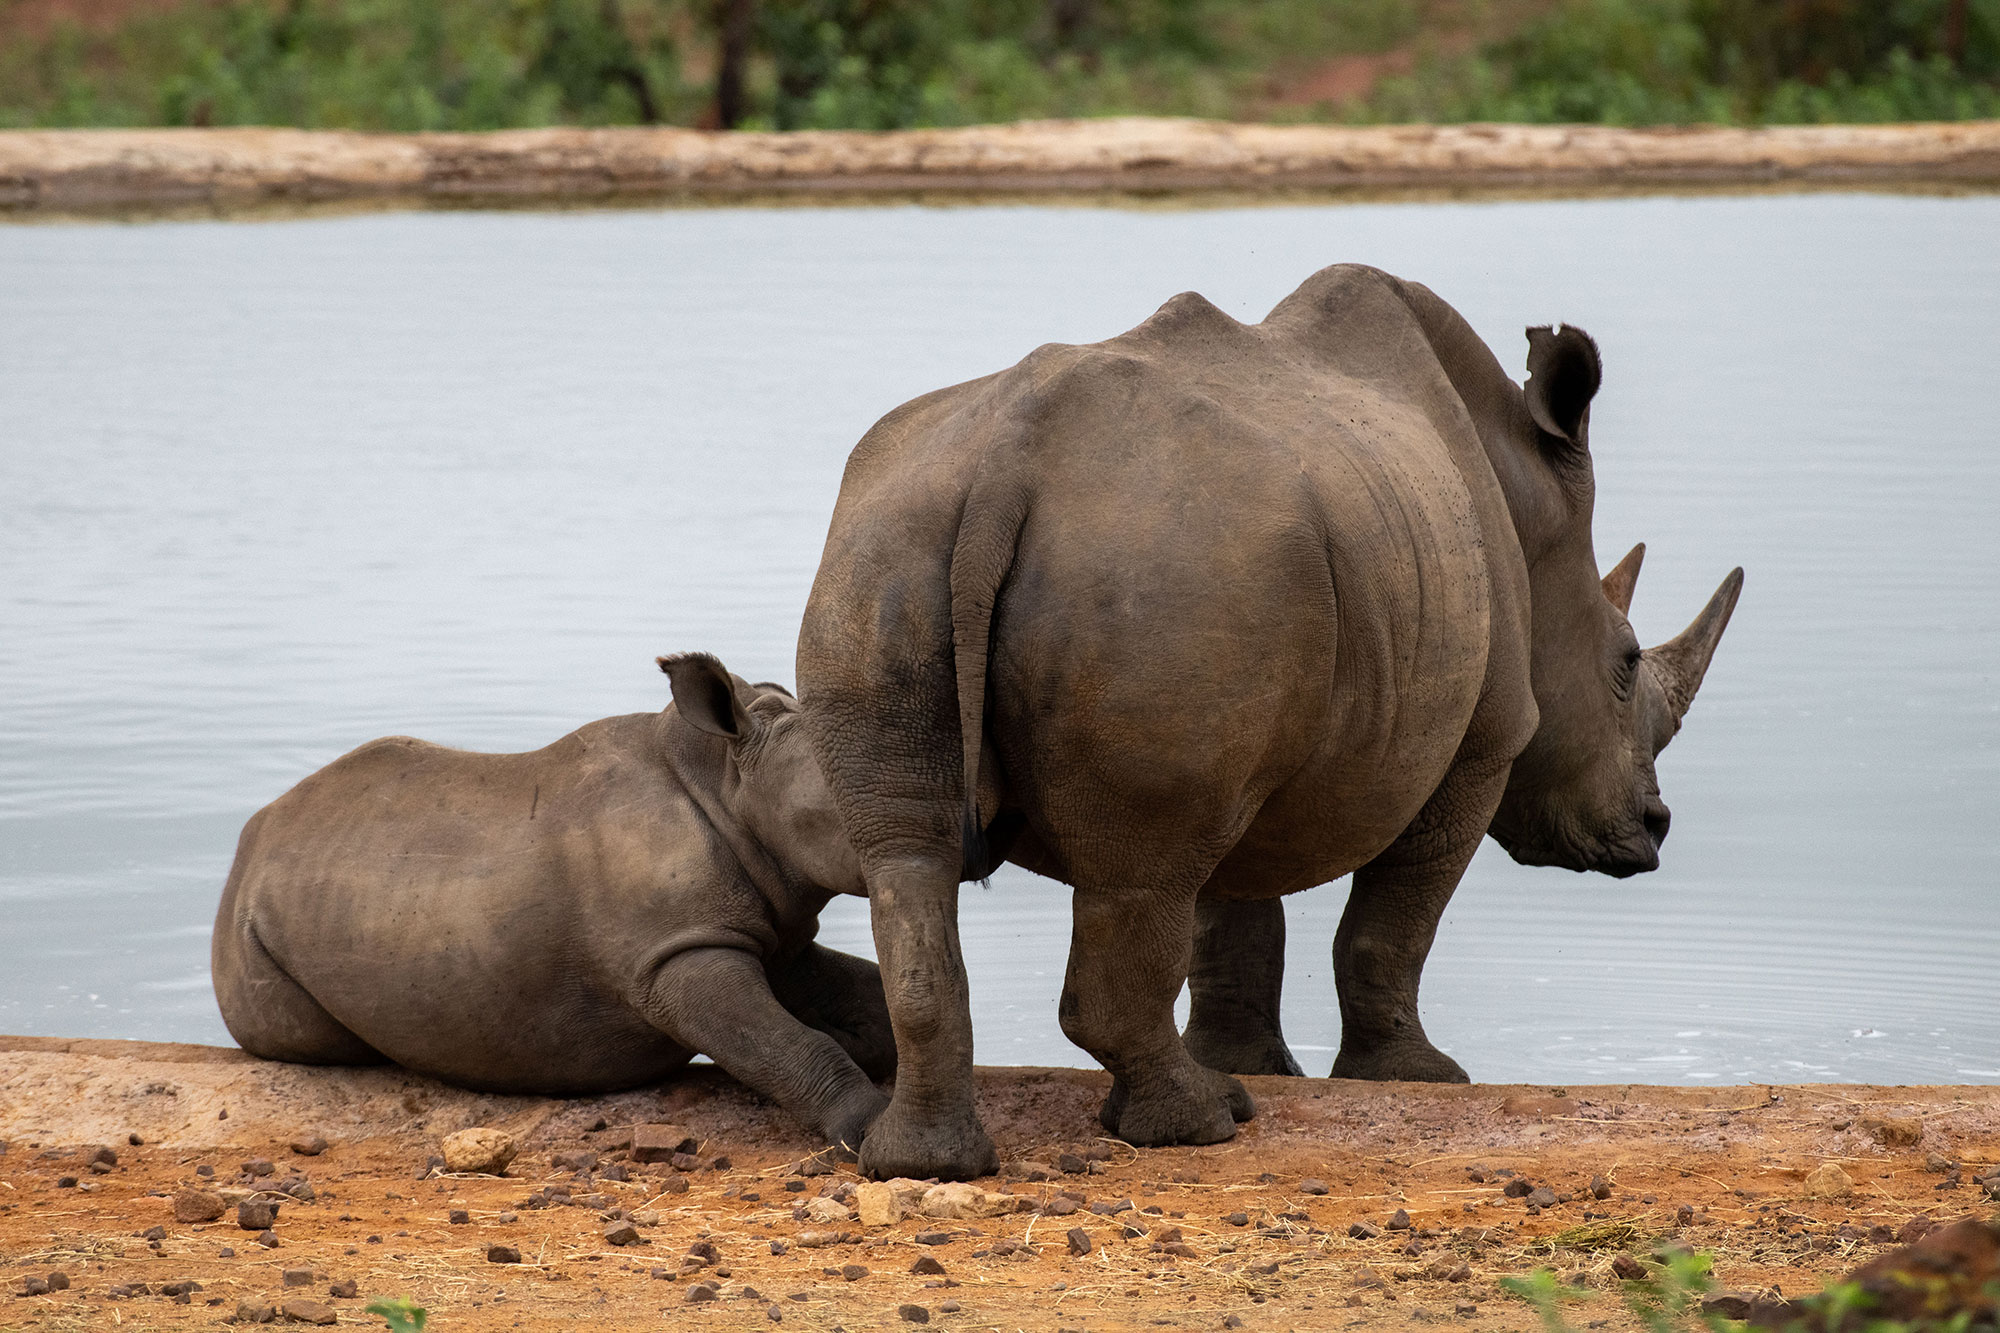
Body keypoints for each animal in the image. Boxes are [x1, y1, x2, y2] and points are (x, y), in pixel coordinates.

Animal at [211, 653, 893, 1150]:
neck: (727, 780)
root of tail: (252, 837)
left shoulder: (771, 931)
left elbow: (856, 997)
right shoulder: (676, 952)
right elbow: (782, 1041)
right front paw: (865, 1130)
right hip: (254, 926)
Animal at [798, 263, 1741, 1180]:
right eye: (1626, 662)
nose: (1653, 827)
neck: (1529, 496)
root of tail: (1006, 462)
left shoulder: (1250, 735)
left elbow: (1231, 912)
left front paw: (1253, 1063)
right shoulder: (1481, 743)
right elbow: (1392, 922)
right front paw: (1419, 1077)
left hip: (899, 546)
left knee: (912, 853)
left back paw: (928, 1164)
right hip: (1165, 564)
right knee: (1140, 871)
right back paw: (1202, 1126)